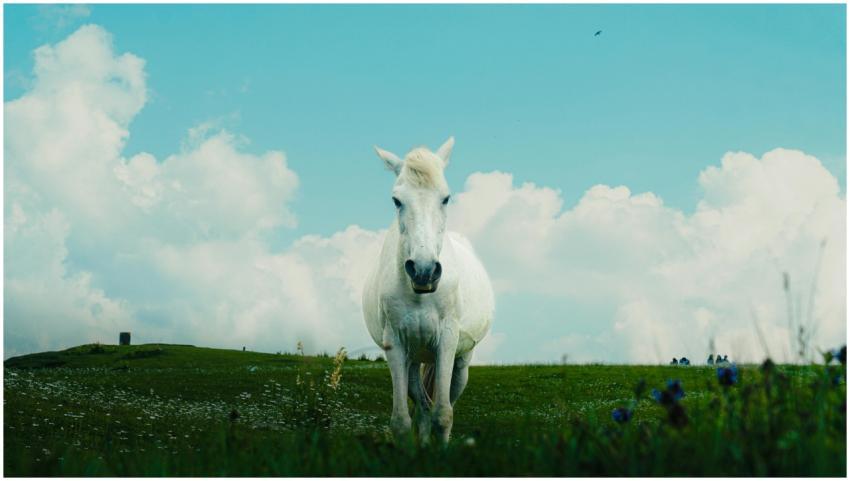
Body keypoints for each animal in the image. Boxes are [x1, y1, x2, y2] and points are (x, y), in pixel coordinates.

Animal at [362, 137, 494, 444]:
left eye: (445, 198)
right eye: (397, 200)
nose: (423, 271)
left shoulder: (446, 340)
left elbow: (443, 415)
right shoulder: (395, 345)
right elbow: (402, 421)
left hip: (460, 362)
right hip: (413, 359)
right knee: (422, 407)